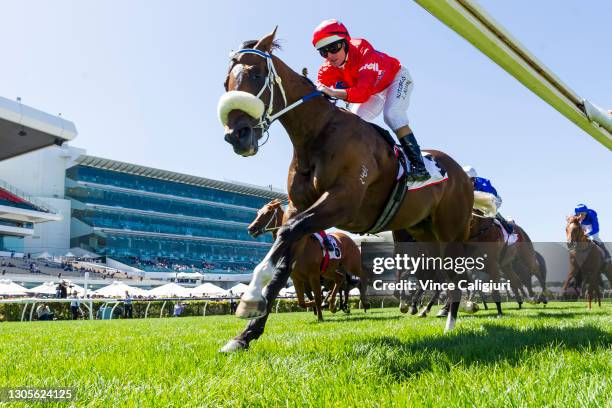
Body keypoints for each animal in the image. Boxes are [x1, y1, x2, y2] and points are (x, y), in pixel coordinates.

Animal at [220, 30, 474, 352]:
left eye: (256, 73)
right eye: (225, 82)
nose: (236, 136)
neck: (317, 133)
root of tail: (461, 173)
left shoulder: (343, 202)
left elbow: (287, 233)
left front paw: (252, 294)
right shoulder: (300, 207)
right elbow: (283, 265)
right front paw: (245, 334)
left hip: (451, 230)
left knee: (458, 272)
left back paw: (450, 323)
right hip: (423, 231)